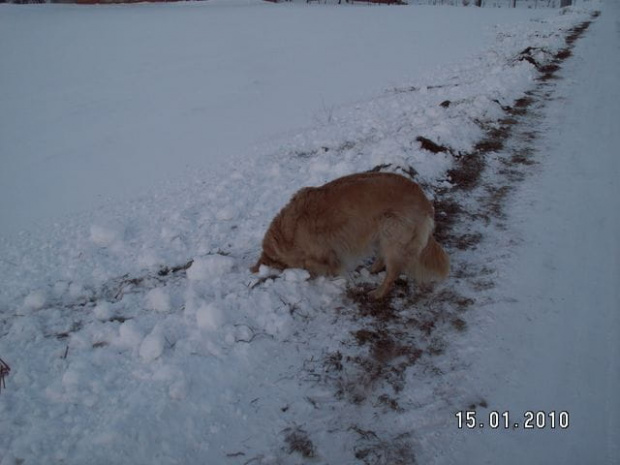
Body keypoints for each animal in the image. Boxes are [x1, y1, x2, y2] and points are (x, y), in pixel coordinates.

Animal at [249, 170, 448, 298]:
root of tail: (424, 200)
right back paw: (373, 269)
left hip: (392, 232)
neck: (289, 232)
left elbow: (314, 263)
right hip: (382, 232)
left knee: (393, 272)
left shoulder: (324, 252)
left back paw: (378, 293)